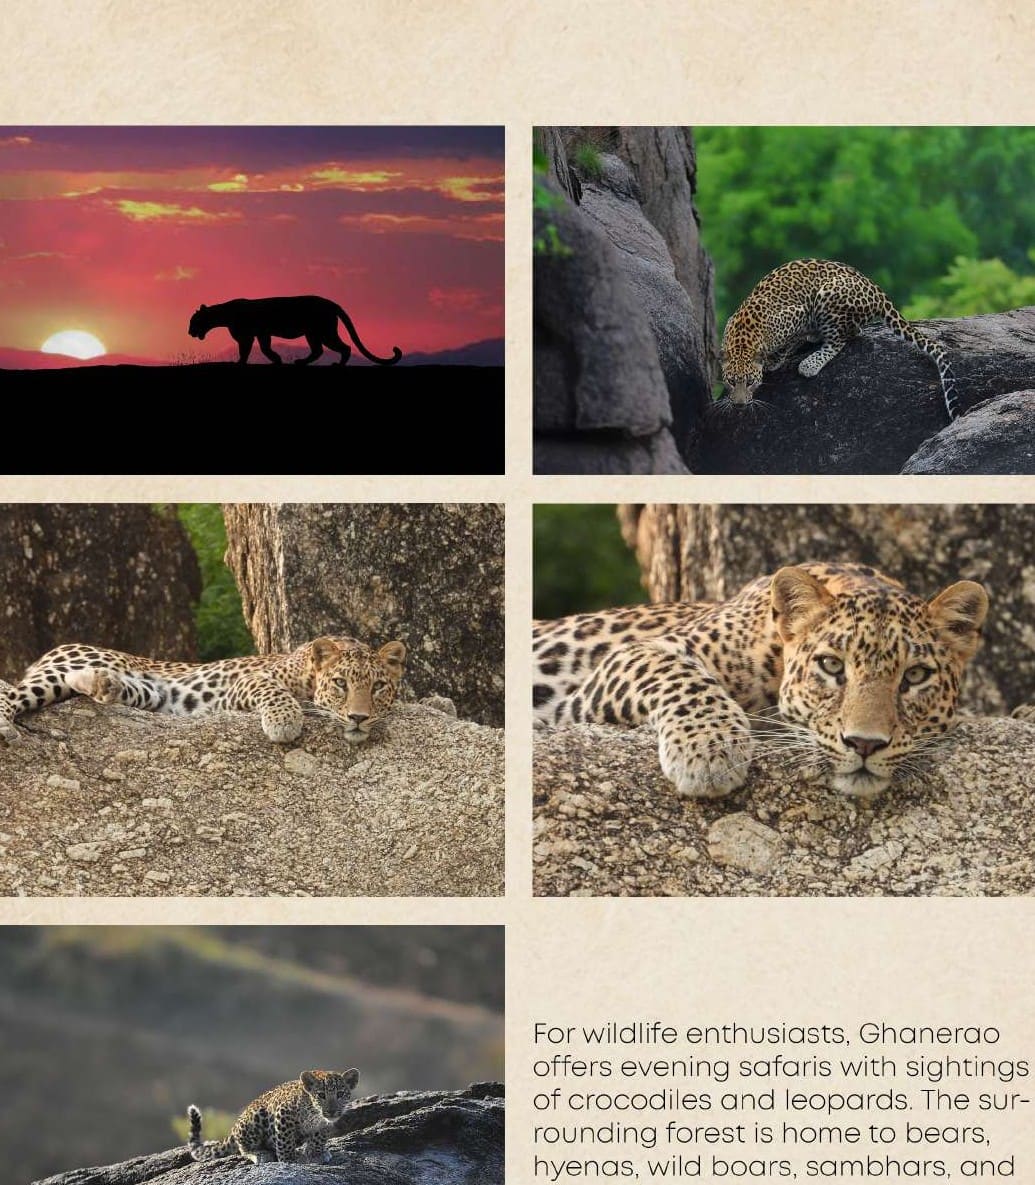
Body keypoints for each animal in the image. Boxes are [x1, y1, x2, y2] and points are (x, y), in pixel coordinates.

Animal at [0, 635, 406, 745]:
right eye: (340, 684)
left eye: (378, 687)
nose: (358, 717)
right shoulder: (245, 683)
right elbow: (274, 690)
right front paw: (285, 721)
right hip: (59, 670)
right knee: (10, 694)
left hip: (149, 693)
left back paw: (101, 683)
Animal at [188, 294, 403, 366]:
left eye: (193, 321)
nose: (189, 332)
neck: (223, 315)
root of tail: (331, 303)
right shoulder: (262, 333)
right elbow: (265, 348)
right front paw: (277, 360)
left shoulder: (247, 336)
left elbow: (246, 351)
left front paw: (239, 363)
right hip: (313, 334)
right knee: (318, 350)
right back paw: (301, 362)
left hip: (323, 332)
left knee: (344, 347)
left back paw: (338, 365)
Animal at [188, 1068, 360, 1164]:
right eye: (321, 1095)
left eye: (340, 1094)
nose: (331, 1111)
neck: (314, 1113)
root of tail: (234, 1127)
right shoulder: (284, 1113)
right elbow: (285, 1140)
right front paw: (289, 1158)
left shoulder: (323, 1124)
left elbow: (319, 1137)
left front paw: (316, 1153)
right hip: (255, 1118)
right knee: (243, 1147)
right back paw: (260, 1154)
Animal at [533, 563, 987, 800]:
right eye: (831, 666)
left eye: (915, 675)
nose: (864, 744)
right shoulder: (635, 656)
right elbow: (683, 679)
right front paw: (710, 751)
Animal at [720, 259, 960, 421]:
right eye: (731, 381)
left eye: (750, 382)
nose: (739, 405)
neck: (742, 339)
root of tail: (876, 288)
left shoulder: (798, 313)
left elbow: (788, 344)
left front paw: (774, 361)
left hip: (829, 295)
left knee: (843, 338)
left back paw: (810, 363)